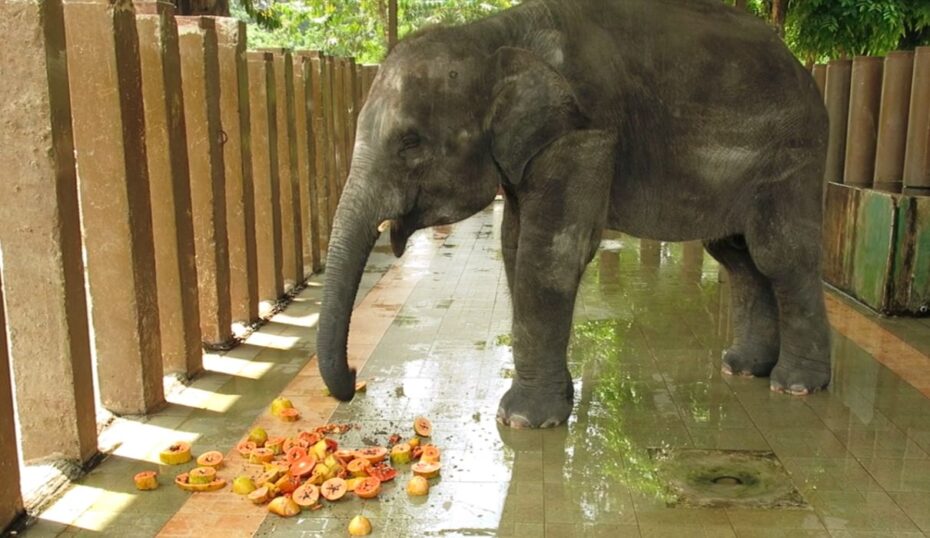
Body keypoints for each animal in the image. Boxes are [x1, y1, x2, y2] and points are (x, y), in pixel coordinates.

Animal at [316, 0, 832, 429]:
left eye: (410, 142)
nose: (356, 376)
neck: (492, 36)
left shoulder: (584, 135)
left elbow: (551, 252)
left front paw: (522, 421)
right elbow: (514, 244)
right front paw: (556, 401)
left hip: (793, 157)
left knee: (778, 254)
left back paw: (796, 386)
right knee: (737, 255)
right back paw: (743, 368)